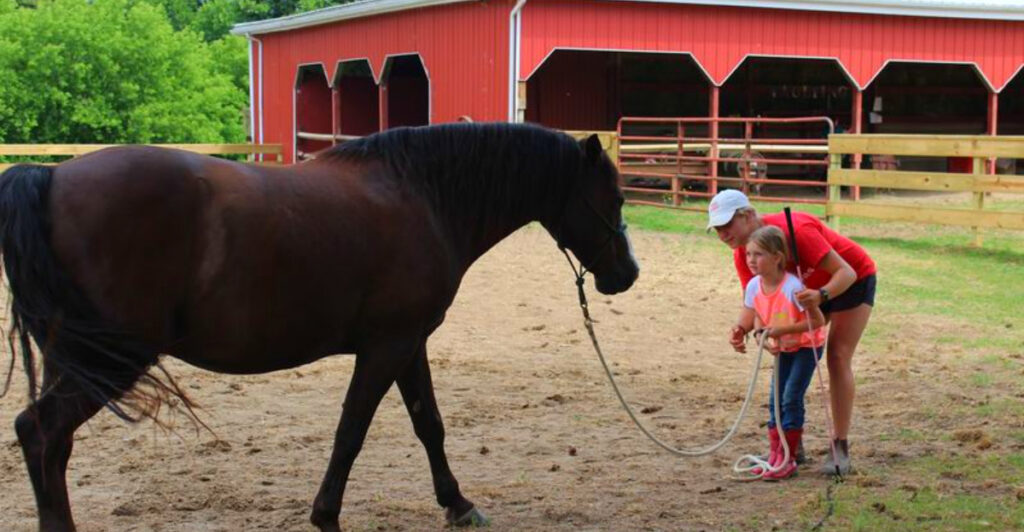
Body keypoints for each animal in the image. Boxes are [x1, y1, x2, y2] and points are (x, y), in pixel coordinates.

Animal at [0, 122, 639, 531]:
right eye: (613, 197)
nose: (627, 274)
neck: (423, 195)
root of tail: (50, 179)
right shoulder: (386, 347)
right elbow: (351, 431)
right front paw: (326, 516)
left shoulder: (409, 345)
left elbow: (428, 425)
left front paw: (457, 504)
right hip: (111, 359)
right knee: (38, 431)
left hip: (76, 357)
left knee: (53, 445)